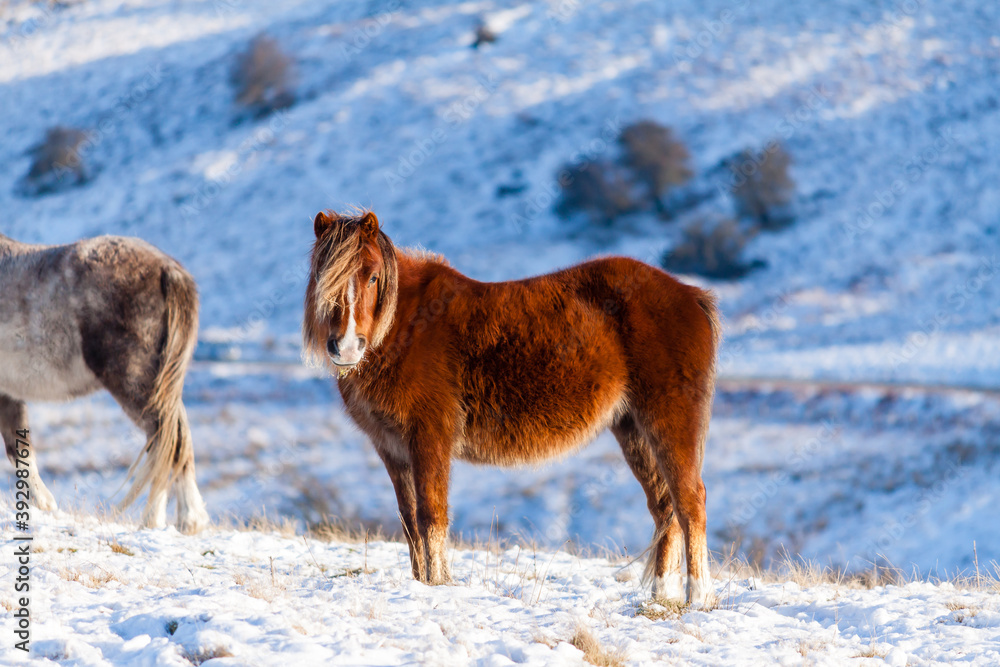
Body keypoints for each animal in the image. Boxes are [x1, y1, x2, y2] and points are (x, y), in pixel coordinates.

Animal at [0, 233, 209, 533]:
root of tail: (169, 271)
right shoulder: (8, 392)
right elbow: (20, 448)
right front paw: (45, 506)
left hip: (138, 388)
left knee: (165, 440)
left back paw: (167, 519)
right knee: (175, 439)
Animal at [303, 210, 720, 607]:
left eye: (373, 277)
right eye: (322, 274)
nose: (346, 346)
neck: (406, 325)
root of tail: (691, 295)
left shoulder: (429, 439)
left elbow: (430, 516)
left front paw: (439, 585)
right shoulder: (392, 449)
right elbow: (409, 521)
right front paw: (422, 584)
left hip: (669, 422)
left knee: (690, 502)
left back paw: (697, 597)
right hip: (633, 430)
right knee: (664, 507)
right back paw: (661, 597)